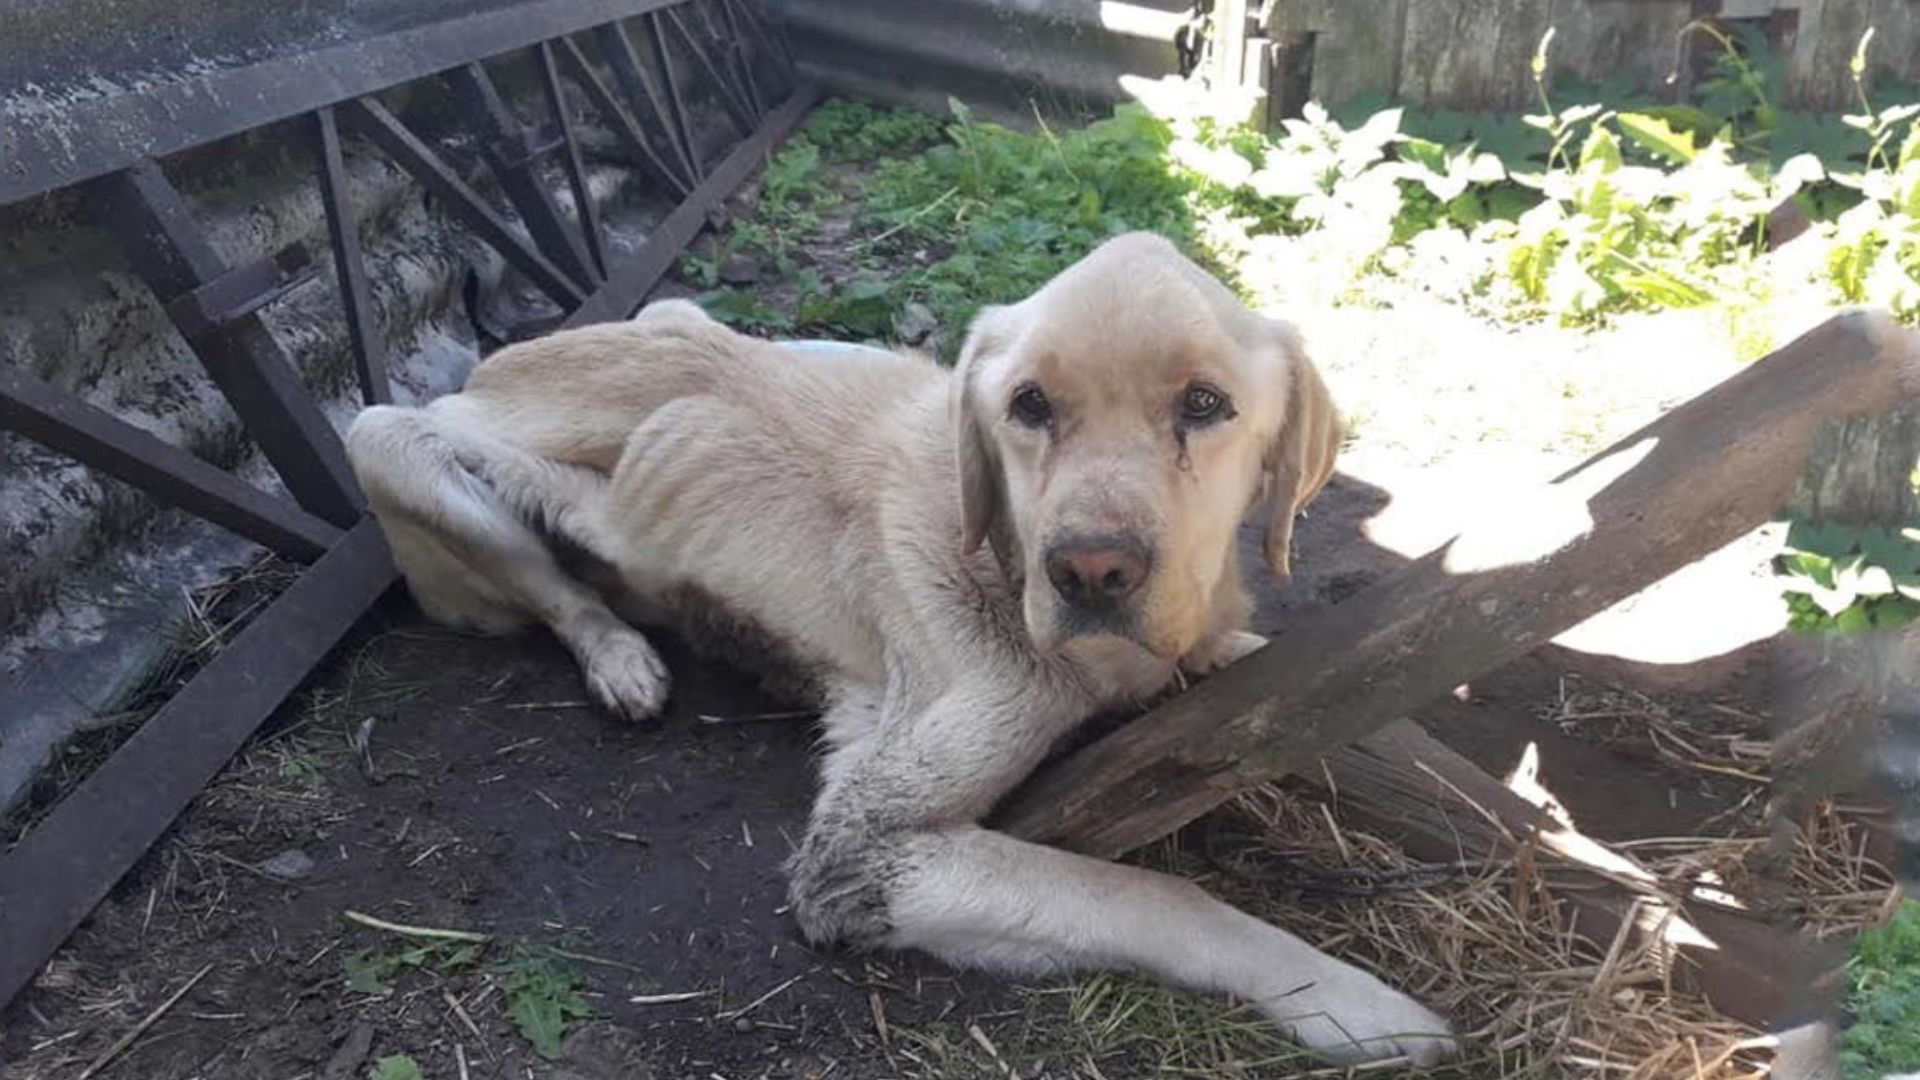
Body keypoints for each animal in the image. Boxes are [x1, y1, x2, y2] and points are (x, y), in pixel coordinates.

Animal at [345, 228, 1451, 1060]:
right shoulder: (858, 854)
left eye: (1205, 405)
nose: (1089, 572)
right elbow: (1157, 894)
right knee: (549, 576)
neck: (1007, 565)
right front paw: (1350, 999)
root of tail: (496, 359)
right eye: (1029, 406)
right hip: (395, 445)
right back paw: (622, 653)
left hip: (698, 322)